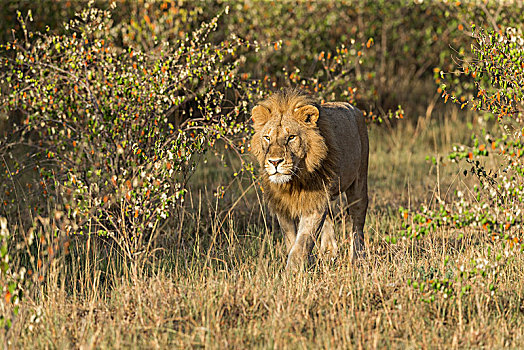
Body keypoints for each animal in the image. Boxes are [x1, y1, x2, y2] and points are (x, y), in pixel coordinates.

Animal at [251, 89, 368, 270]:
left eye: (291, 137)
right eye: (267, 138)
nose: (275, 162)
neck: (292, 182)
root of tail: (354, 108)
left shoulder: (314, 203)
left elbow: (303, 241)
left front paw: (292, 271)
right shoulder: (282, 206)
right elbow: (291, 240)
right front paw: (308, 263)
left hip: (359, 182)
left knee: (357, 224)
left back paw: (357, 258)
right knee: (329, 220)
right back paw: (329, 253)